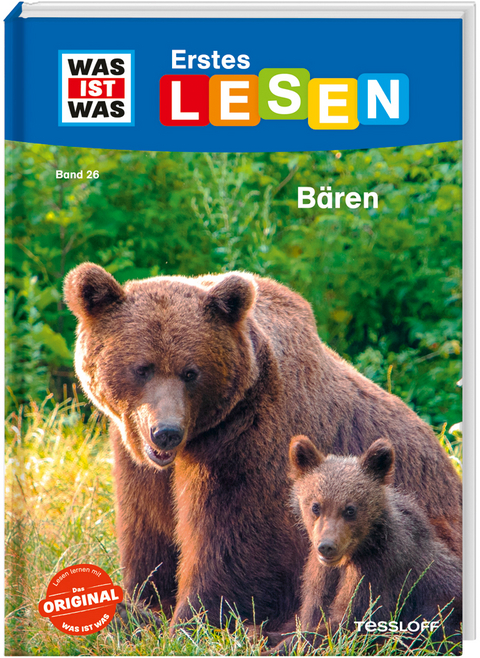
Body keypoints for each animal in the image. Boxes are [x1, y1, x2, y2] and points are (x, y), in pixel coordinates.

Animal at [63, 263, 462, 632]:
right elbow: (148, 528)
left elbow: (230, 546)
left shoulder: (248, 445)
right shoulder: (138, 461)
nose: (166, 432)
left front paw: (192, 620)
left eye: (191, 372)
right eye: (142, 368)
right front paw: (140, 605)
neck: (200, 437)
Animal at [276, 436, 462, 654]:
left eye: (350, 509)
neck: (354, 553)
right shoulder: (320, 575)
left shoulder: (378, 570)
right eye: (315, 506)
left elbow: (352, 623)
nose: (327, 546)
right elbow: (313, 612)